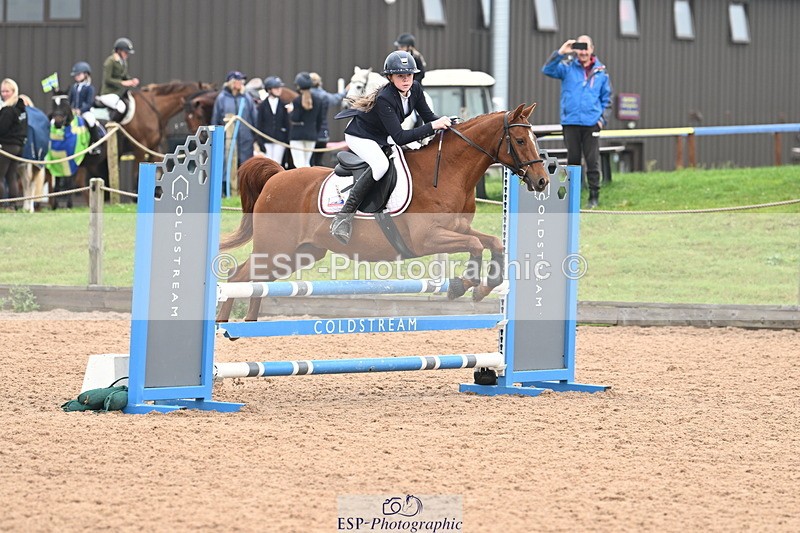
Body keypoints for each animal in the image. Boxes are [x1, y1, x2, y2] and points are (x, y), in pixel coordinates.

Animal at [216, 103, 549, 322]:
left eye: (535, 140)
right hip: (276, 248)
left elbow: (493, 242)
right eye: (521, 140)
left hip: (300, 253)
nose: (542, 181)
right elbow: (476, 245)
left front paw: (482, 289)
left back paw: (248, 325)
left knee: (256, 281)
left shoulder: (458, 228)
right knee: (238, 276)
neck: (448, 171)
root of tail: (276, 177)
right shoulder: (427, 239)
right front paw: (460, 286)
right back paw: (223, 325)